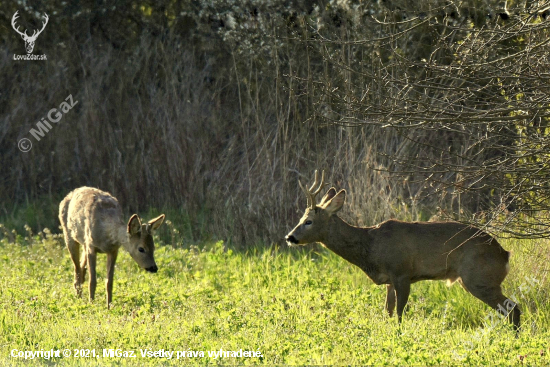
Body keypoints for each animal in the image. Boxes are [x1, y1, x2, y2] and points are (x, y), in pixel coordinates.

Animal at [286, 171, 524, 332]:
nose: (290, 237)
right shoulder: (390, 281)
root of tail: (505, 254)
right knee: (511, 309)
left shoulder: (402, 273)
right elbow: (387, 312)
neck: (371, 246)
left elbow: (399, 314)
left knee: (513, 308)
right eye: (301, 218)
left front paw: (399, 335)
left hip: (478, 277)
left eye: (308, 221)